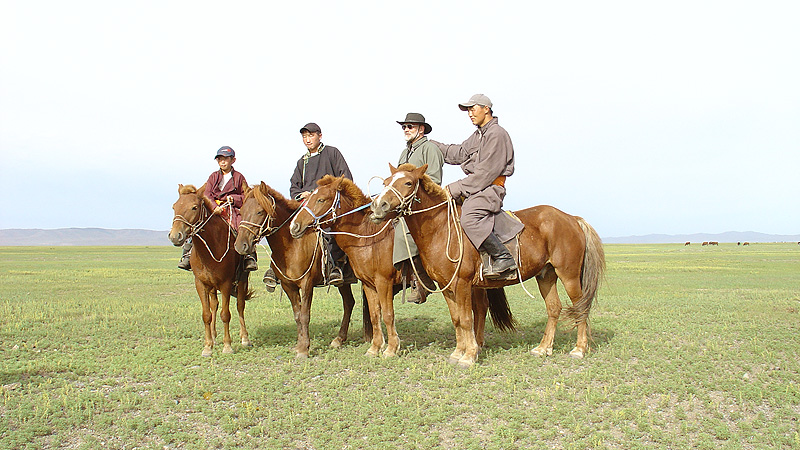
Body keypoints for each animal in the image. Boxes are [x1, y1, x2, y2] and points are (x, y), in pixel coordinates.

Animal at [169, 184, 252, 357]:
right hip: (212, 286)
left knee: (240, 305)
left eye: (194, 207)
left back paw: (245, 338)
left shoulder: (226, 283)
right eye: (174, 207)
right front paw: (207, 346)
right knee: (214, 305)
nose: (175, 236)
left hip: (242, 279)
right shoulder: (200, 283)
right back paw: (213, 336)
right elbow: (206, 314)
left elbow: (226, 314)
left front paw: (227, 346)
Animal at [234, 182, 358, 358]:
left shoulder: (306, 284)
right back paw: (339, 339)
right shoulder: (288, 286)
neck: (293, 245)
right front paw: (299, 345)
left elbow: (305, 315)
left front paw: (304, 349)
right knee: (349, 303)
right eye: (242, 211)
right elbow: (297, 315)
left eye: (259, 211)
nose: (240, 245)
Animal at [288, 175, 515, 359]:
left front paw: (391, 348)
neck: (367, 236)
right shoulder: (368, 284)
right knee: (480, 307)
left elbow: (388, 315)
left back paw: (477, 345)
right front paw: (374, 348)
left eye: (321, 199)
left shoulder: (384, 282)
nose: (294, 226)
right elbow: (375, 315)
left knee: (479, 308)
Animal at [370, 164, 606, 367]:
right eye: (386, 182)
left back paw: (579, 349)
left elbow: (467, 319)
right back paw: (543, 348)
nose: (378, 206)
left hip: (569, 275)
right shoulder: (447, 286)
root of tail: (572, 219)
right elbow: (456, 319)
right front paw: (458, 352)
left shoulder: (463, 283)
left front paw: (469, 356)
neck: (441, 228)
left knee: (580, 307)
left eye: (408, 183)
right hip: (546, 275)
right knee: (554, 308)